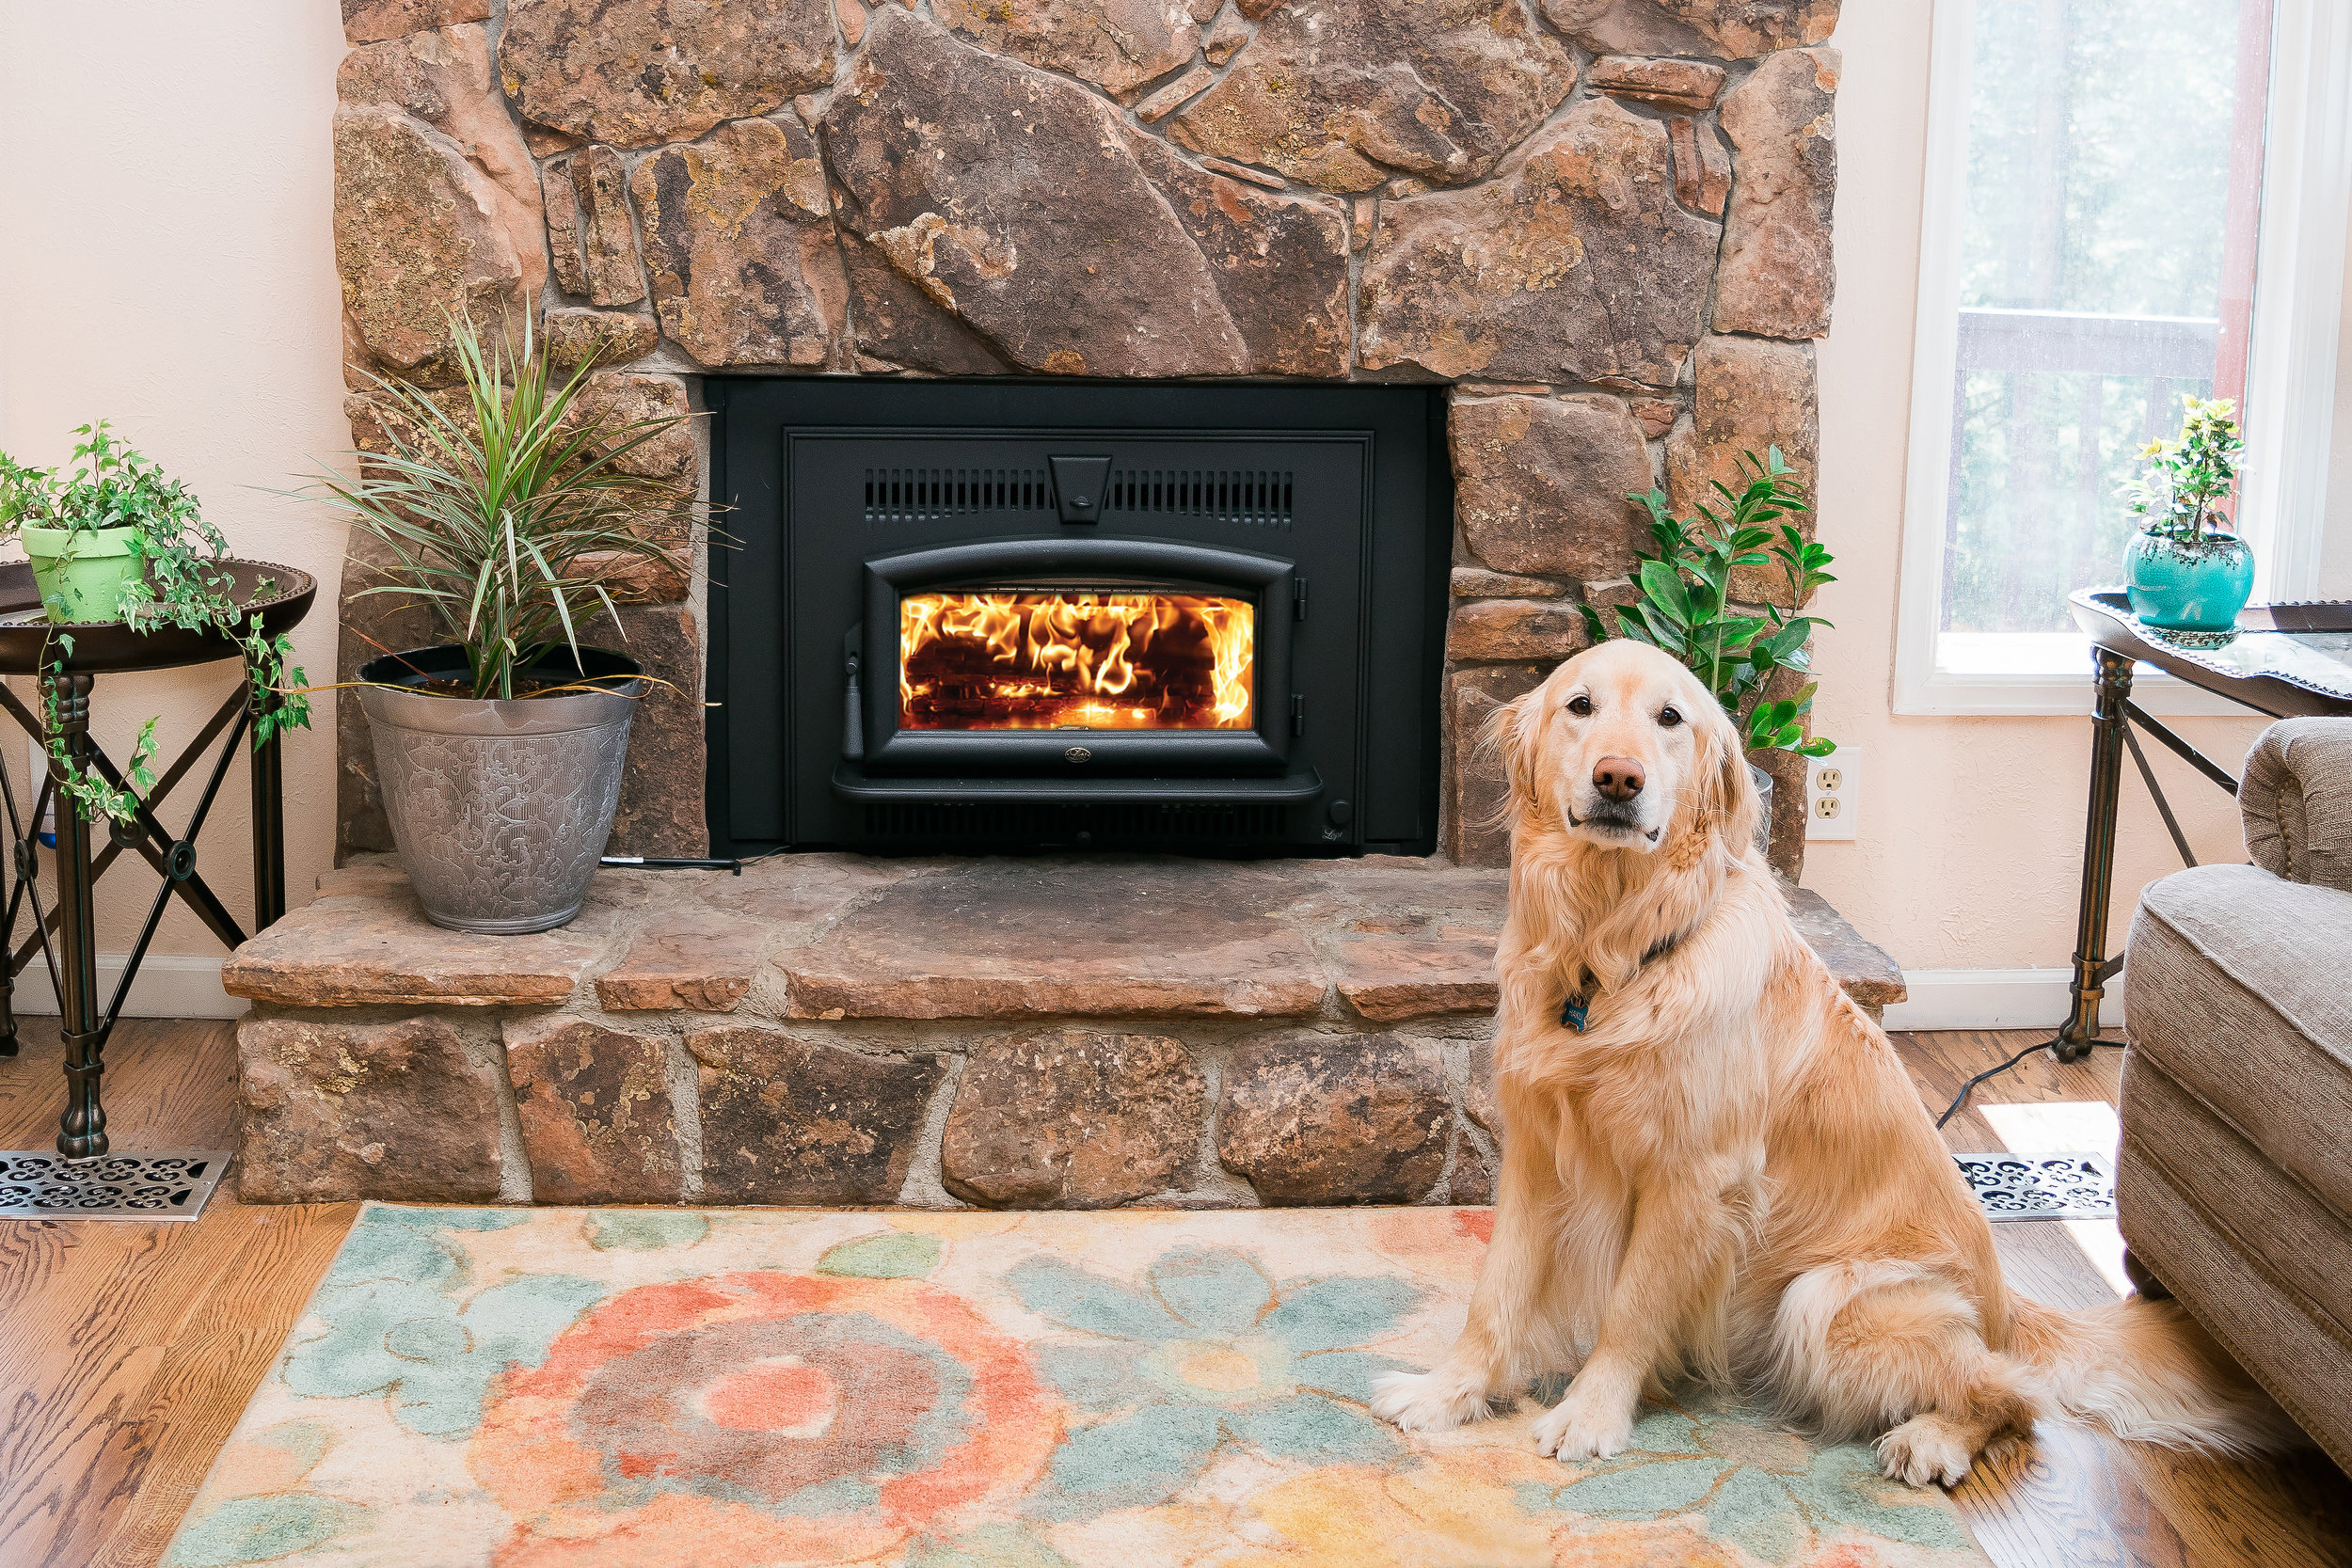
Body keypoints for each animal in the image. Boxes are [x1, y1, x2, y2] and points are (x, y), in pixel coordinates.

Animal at [1374, 639, 2286, 1485]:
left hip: (1824, 1299)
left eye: (1670, 718)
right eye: (1580, 705)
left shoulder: (1693, 1177)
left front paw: (1590, 1414)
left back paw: (1933, 1439)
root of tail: (2005, 1302)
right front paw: (1449, 1391)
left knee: (2014, 1392)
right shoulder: (1535, 1152)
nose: (1618, 779)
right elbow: (1495, 1295)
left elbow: (1629, 1309)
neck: (1616, 952)